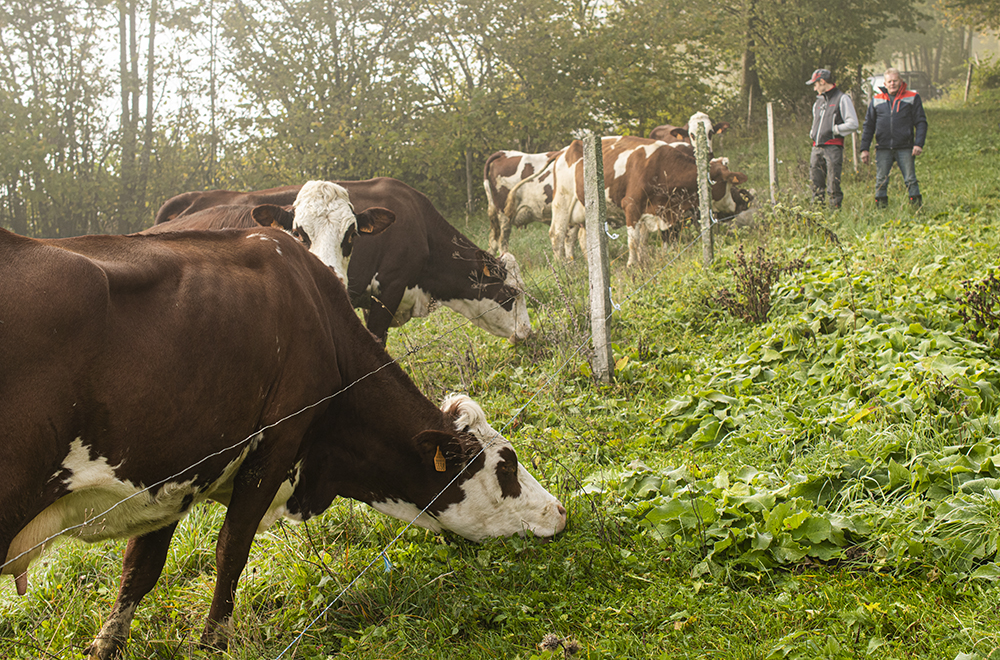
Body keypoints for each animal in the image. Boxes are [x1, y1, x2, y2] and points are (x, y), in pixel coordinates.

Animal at [0, 224, 564, 656]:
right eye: (507, 465)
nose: (560, 512)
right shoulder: (274, 445)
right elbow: (231, 550)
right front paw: (213, 642)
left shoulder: (175, 472)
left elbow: (140, 567)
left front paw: (107, 644)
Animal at [540, 137, 752, 268]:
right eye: (728, 183)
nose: (743, 203)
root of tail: (564, 150)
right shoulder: (631, 205)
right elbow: (633, 241)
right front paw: (632, 264)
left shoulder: (655, 211)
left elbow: (644, 240)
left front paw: (644, 260)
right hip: (563, 201)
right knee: (557, 234)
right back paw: (563, 268)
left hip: (582, 210)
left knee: (578, 238)